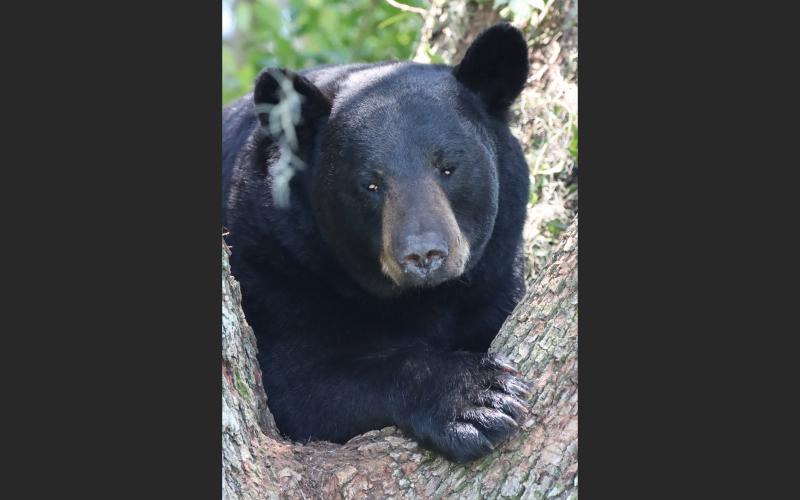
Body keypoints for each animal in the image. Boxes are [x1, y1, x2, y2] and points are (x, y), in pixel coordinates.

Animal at [222, 23, 532, 463]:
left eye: (448, 167)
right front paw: (476, 398)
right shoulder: (274, 264)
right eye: (370, 184)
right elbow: (298, 379)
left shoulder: (497, 270)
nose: (424, 254)